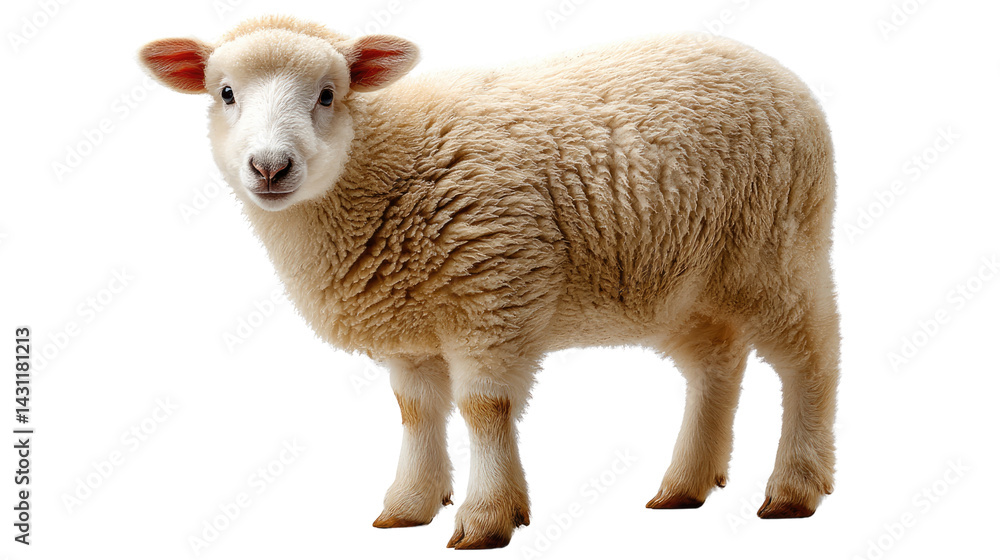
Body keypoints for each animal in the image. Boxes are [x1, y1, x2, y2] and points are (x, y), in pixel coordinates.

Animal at [140, 15, 840, 549]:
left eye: (329, 94)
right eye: (225, 93)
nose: (269, 166)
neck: (381, 166)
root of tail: (778, 71)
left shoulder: (494, 292)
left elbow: (485, 409)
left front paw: (487, 517)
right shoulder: (410, 324)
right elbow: (416, 411)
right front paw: (410, 505)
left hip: (776, 248)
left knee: (812, 359)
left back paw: (794, 488)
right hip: (683, 283)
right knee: (716, 362)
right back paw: (685, 484)